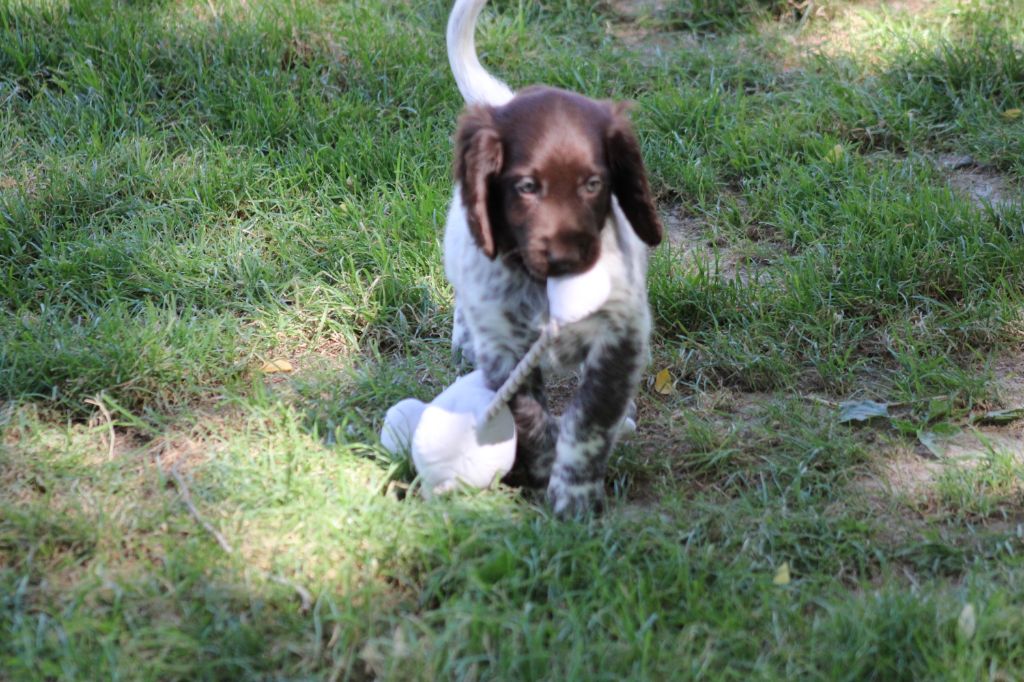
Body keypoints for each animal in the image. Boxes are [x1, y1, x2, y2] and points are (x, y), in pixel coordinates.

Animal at [444, 0, 659, 512]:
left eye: (594, 184)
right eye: (526, 187)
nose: (567, 260)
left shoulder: (621, 337)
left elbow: (590, 421)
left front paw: (575, 496)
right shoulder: (505, 349)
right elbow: (528, 416)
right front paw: (542, 473)